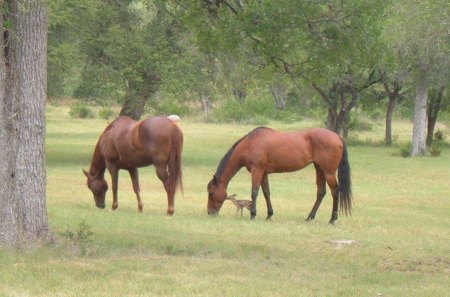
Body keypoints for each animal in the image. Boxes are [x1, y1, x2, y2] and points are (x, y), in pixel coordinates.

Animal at [207, 126, 352, 223]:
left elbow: (254, 192)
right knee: (321, 193)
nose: (210, 212)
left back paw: (332, 219)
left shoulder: (256, 171)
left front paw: (253, 214)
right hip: (319, 169)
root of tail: (337, 137)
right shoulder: (263, 173)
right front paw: (269, 215)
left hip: (328, 172)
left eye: (211, 193)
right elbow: (266, 193)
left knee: (335, 191)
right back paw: (309, 217)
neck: (250, 144)